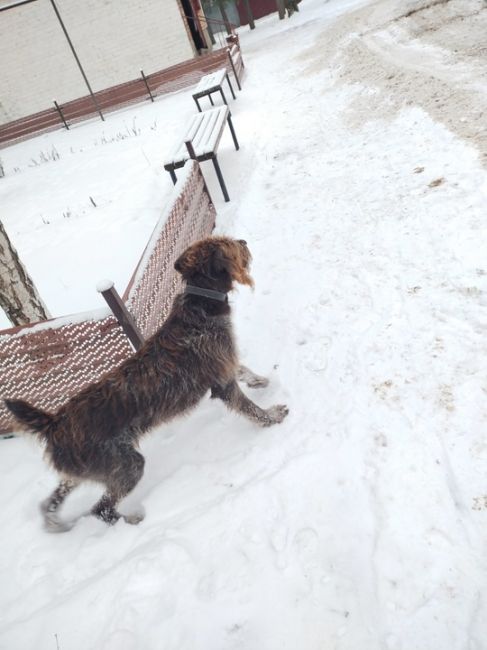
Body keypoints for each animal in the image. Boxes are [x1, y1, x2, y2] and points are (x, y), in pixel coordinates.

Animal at [4, 235, 290, 528]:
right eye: (226, 243)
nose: (243, 241)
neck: (199, 304)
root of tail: (53, 423)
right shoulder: (223, 384)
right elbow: (252, 409)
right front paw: (273, 416)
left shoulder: (225, 364)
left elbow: (244, 370)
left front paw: (261, 381)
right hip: (128, 466)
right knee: (101, 509)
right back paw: (131, 521)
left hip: (81, 473)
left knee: (52, 503)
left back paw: (57, 524)